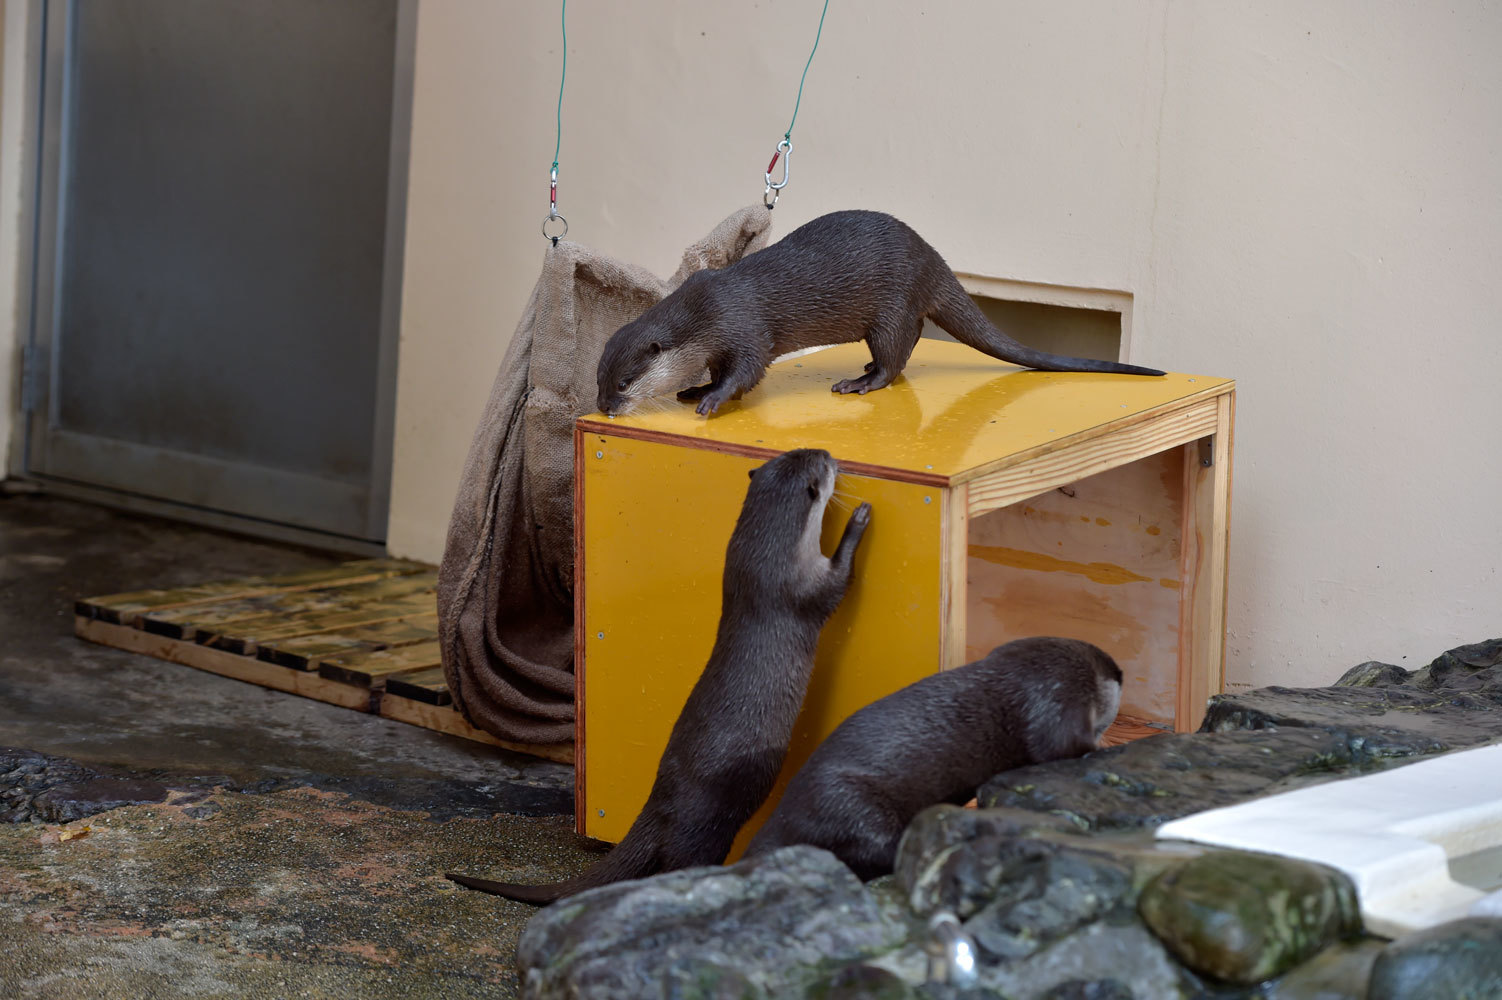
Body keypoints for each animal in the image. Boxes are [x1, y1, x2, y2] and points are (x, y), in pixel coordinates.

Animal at [441, 447, 871, 900]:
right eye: (820, 463)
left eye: (798, 452)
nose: (828, 453)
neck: (763, 567)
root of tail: (659, 805)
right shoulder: (805, 589)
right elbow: (839, 580)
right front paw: (858, 520)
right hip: (703, 825)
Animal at [591, 208, 1165, 414]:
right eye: (598, 381)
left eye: (623, 383)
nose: (603, 408)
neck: (704, 314)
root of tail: (932, 258)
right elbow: (716, 370)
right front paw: (694, 389)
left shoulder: (743, 327)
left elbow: (747, 373)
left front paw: (711, 399)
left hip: (892, 302)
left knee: (896, 355)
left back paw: (860, 382)